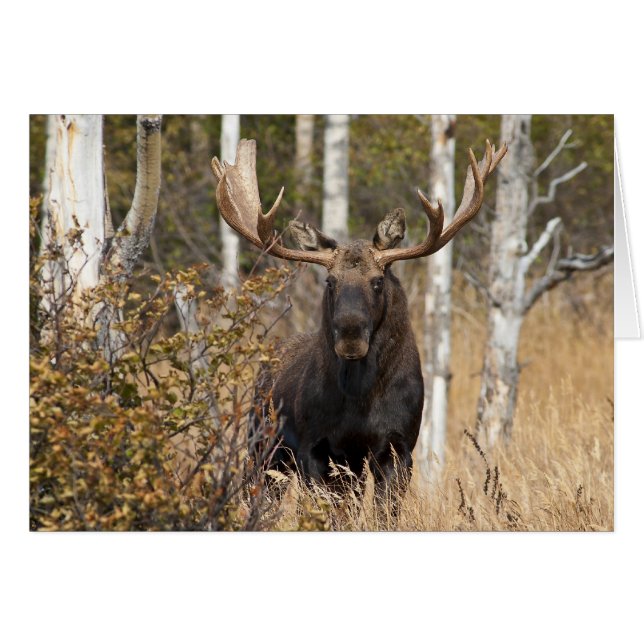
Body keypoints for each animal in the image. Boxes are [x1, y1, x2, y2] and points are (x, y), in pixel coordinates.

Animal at [211, 138, 506, 518]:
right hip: (263, 445)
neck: (360, 402)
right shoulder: (316, 448)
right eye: (330, 281)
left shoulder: (398, 447)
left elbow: (383, 515)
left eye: (377, 281)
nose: (350, 335)